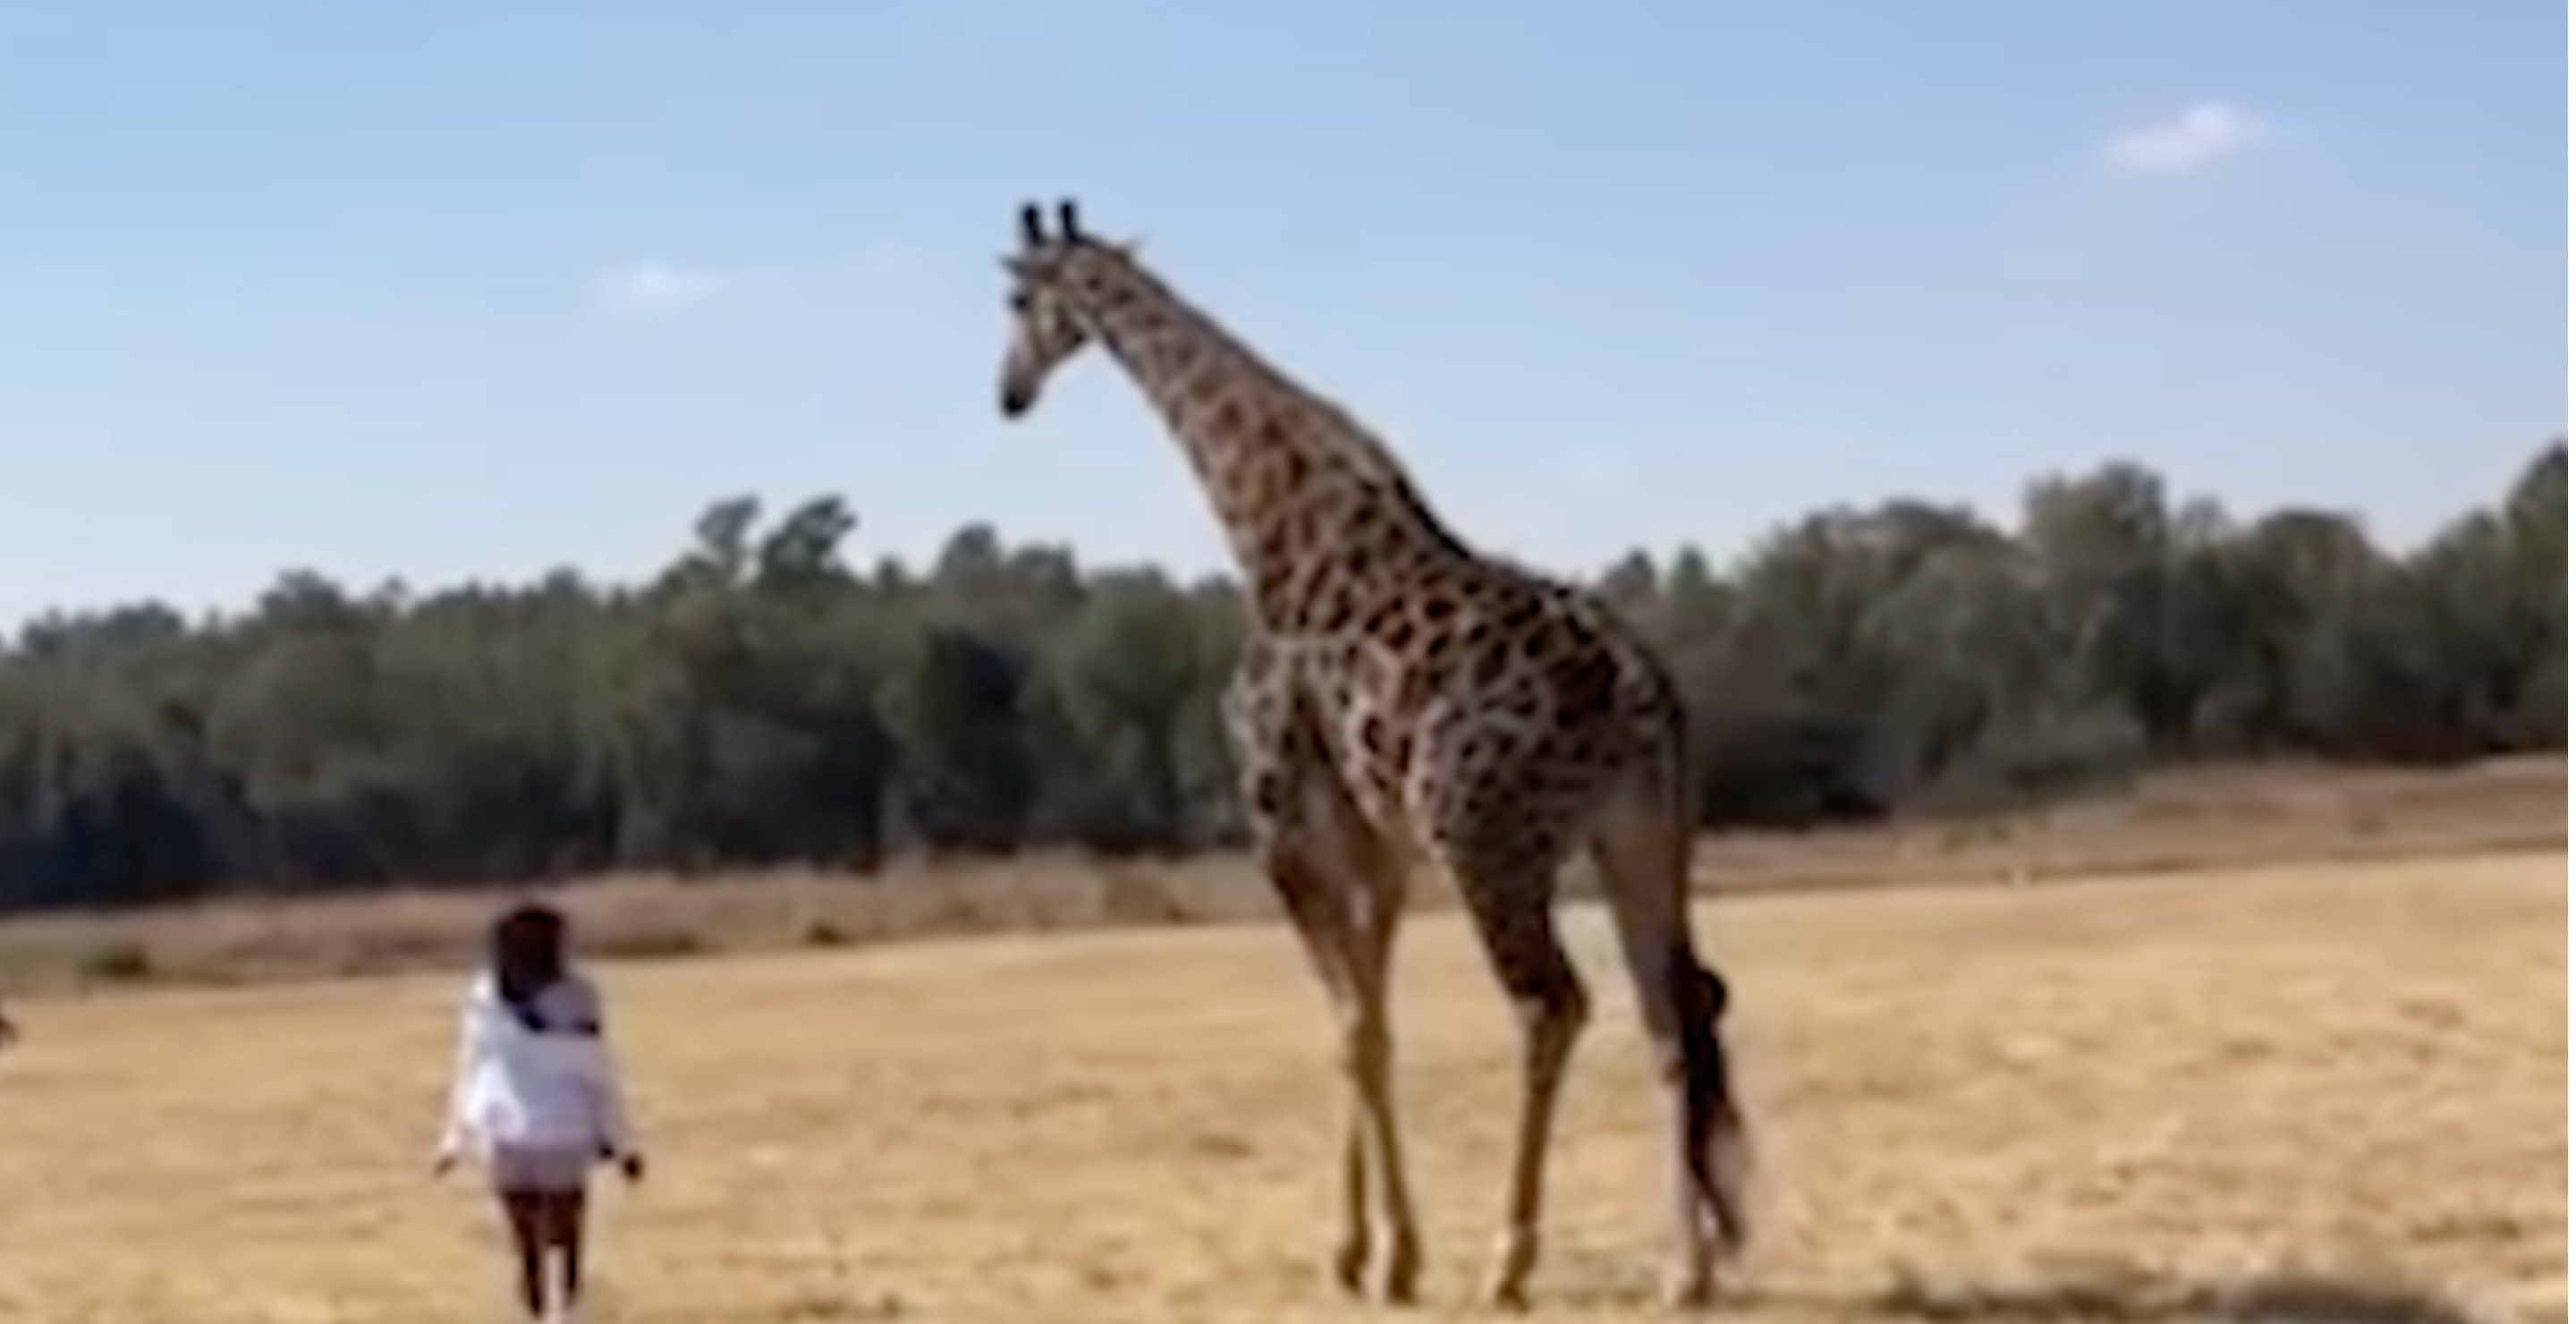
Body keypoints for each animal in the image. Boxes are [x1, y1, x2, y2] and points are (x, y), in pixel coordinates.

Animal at [984, 200, 1751, 1303]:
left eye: (1014, 297)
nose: (1007, 393)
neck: (1272, 533)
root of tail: (1638, 685)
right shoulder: (1379, 840)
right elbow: (1375, 1021)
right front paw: (1377, 1251)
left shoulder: (1285, 826)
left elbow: (1350, 1025)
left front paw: (1377, 1255)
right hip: (1641, 836)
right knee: (1675, 1008)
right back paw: (1684, 1269)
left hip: (1490, 841)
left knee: (1551, 1006)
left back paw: (1511, 1260)